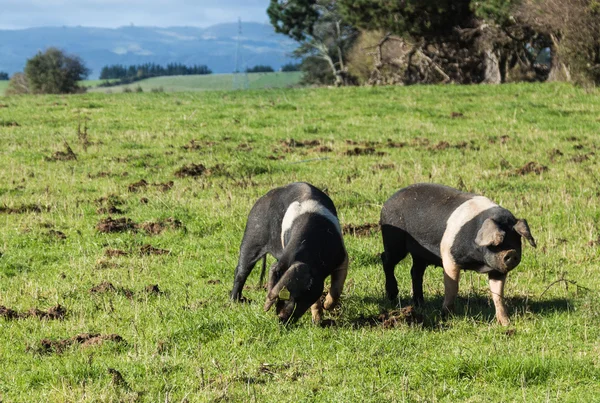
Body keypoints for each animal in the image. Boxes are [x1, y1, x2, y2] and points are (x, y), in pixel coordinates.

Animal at [231, 183, 352, 326]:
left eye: (300, 294)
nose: (280, 320)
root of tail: (262, 199)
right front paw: (317, 321)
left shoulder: (343, 258)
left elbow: (337, 288)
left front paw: (327, 306)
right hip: (251, 236)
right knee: (240, 271)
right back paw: (235, 302)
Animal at [380, 185, 536, 326]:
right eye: (497, 242)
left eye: (516, 240)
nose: (511, 253)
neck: (479, 261)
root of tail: (388, 201)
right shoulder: (449, 257)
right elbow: (452, 288)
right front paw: (447, 315)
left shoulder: (497, 270)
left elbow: (498, 295)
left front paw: (505, 323)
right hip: (394, 242)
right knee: (386, 259)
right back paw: (392, 296)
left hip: (420, 254)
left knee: (415, 272)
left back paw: (420, 303)